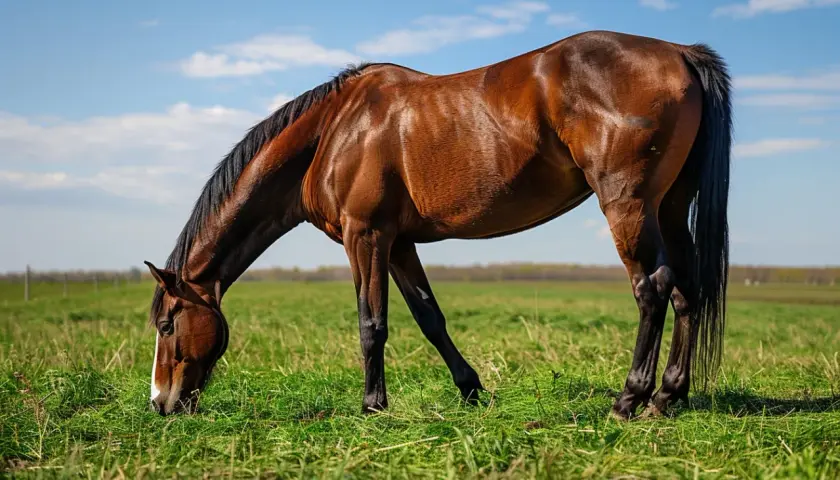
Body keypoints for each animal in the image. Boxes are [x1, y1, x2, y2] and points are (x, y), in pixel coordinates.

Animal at [144, 29, 731, 420]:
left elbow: (372, 324)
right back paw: (667, 396)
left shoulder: (365, 236)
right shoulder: (400, 243)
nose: (160, 403)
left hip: (628, 205)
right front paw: (472, 390)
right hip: (669, 208)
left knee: (652, 288)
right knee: (686, 290)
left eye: (168, 324)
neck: (334, 130)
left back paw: (629, 398)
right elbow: (431, 319)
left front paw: (372, 406)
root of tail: (679, 52)